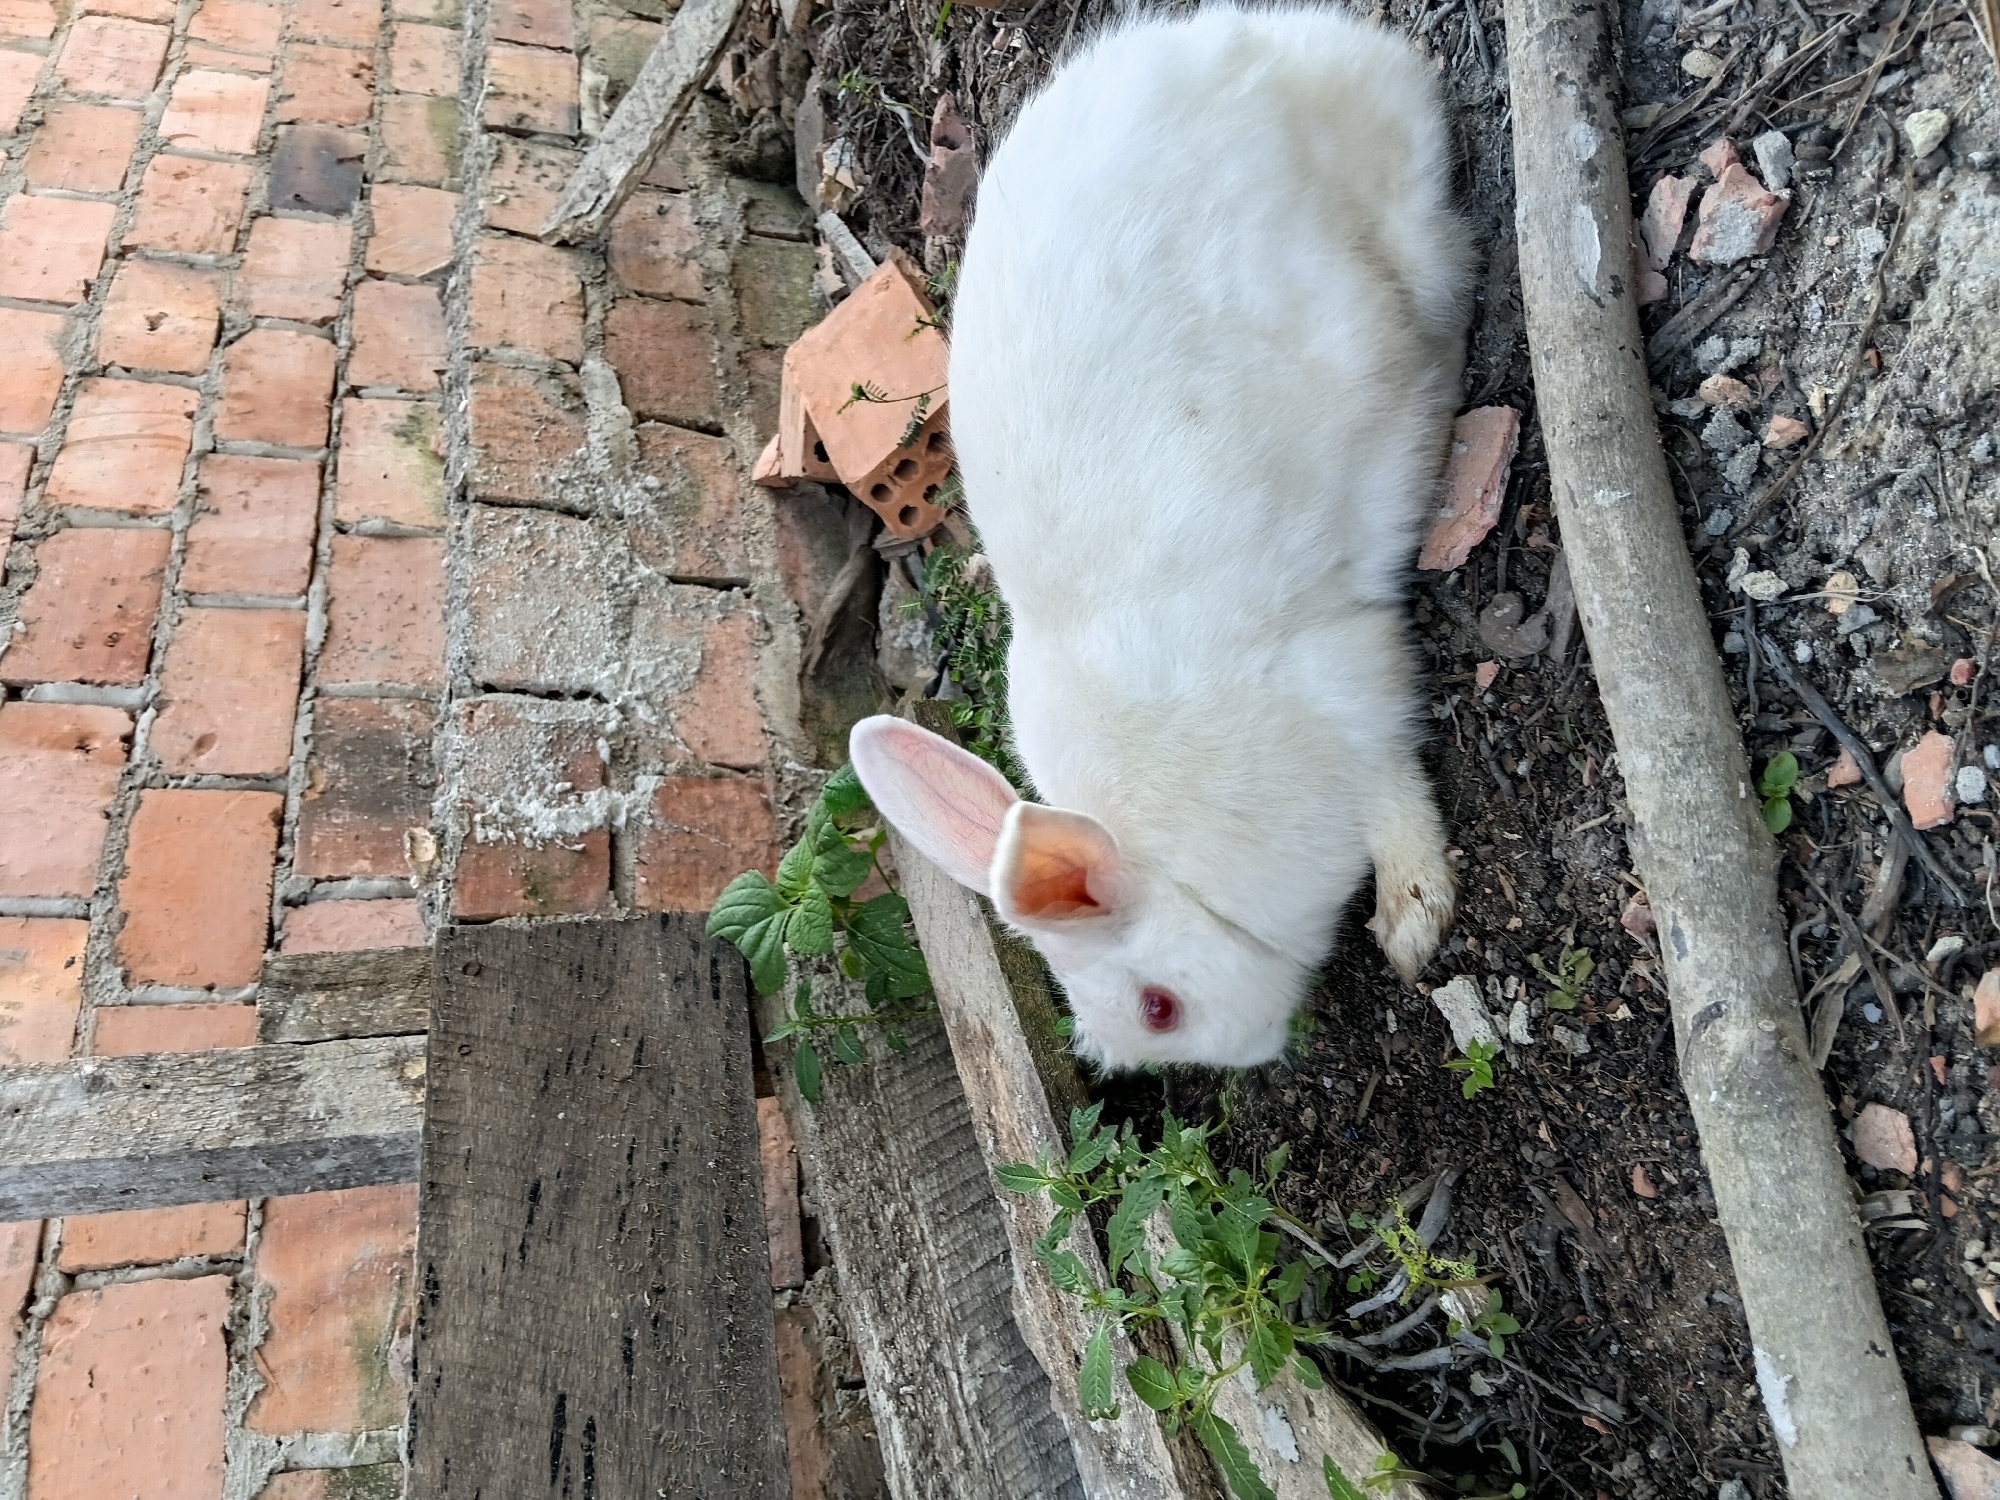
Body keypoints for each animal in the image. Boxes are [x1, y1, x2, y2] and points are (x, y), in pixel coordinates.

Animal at [848, 4, 1473, 1071]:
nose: (1256, 1054)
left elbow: (1395, 789)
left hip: (1392, 239)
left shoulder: (1348, 687)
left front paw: (1413, 920)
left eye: (1159, 1008)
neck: (1177, 864)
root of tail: (1266, 49)